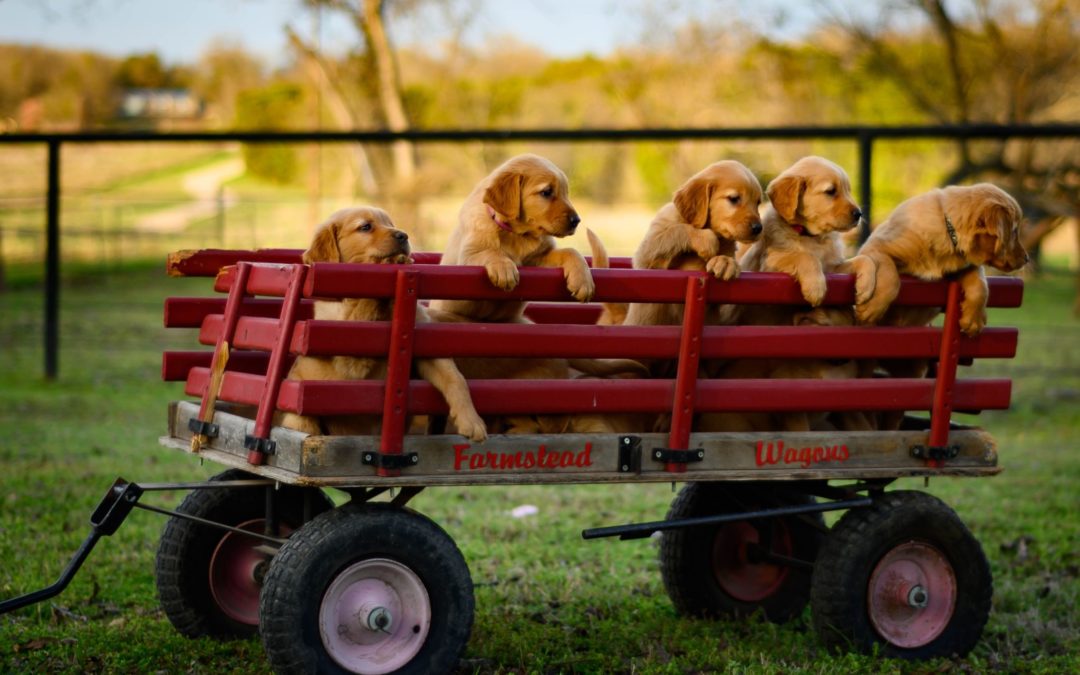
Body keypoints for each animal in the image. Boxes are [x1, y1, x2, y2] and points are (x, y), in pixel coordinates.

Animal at [276, 208, 488, 444]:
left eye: (390, 224)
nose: (403, 235)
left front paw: (472, 422)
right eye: (365, 227)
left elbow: (455, 378)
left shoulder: (426, 346)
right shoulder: (349, 353)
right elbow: (364, 308)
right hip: (298, 417)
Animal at [429, 154, 596, 321]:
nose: (576, 221)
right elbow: (490, 252)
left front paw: (584, 282)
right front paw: (504, 268)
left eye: (566, 193)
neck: (516, 235)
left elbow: (571, 251)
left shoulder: (539, 260)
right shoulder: (467, 257)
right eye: (546, 192)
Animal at [622, 157, 764, 326]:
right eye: (734, 199)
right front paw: (706, 240)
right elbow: (677, 230)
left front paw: (726, 262)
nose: (758, 228)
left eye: (758, 202)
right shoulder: (647, 255)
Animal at [851, 182, 1028, 334]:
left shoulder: (963, 266)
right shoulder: (875, 245)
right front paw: (871, 309)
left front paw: (973, 320)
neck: (948, 230)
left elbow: (980, 284)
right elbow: (891, 277)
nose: (1027, 259)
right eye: (1014, 231)